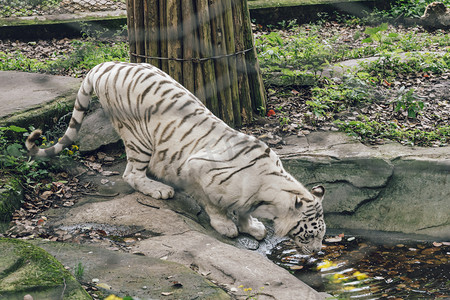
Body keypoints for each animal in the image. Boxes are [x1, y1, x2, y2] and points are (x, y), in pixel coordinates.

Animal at [26, 62, 326, 254]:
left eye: (322, 235)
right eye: (310, 234)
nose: (317, 252)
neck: (269, 192)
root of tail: (105, 65)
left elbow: (243, 209)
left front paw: (252, 227)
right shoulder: (198, 169)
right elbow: (213, 205)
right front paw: (226, 226)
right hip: (139, 138)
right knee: (131, 173)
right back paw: (159, 189)